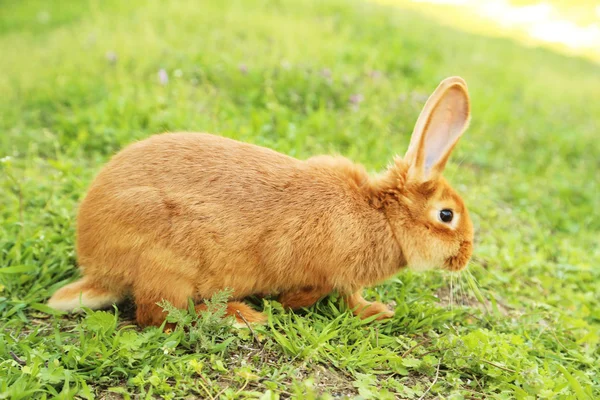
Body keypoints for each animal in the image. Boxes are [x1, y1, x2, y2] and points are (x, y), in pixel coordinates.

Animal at [48, 76, 474, 326]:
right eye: (446, 215)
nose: (466, 255)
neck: (381, 216)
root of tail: (99, 268)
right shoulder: (329, 273)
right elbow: (329, 294)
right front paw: (301, 305)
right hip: (165, 263)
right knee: (159, 315)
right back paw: (240, 315)